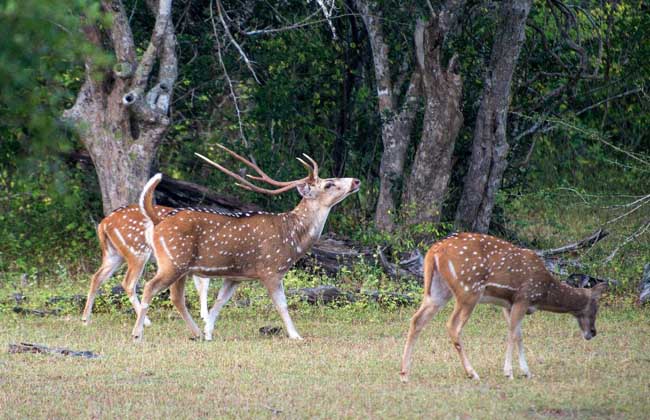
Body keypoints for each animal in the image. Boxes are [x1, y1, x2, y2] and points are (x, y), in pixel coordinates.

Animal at [81, 203, 211, 324]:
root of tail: (103, 223)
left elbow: (201, 285)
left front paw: (203, 315)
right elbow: (204, 284)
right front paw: (206, 317)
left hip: (113, 255)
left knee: (97, 277)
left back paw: (85, 319)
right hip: (137, 251)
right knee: (128, 283)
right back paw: (146, 321)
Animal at [128, 144, 356, 342]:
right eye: (328, 184)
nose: (356, 181)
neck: (293, 239)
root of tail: (158, 221)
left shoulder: (235, 275)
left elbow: (220, 301)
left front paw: (208, 332)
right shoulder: (271, 269)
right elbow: (282, 305)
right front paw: (296, 335)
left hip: (180, 266)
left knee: (176, 297)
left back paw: (196, 333)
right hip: (173, 261)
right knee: (149, 287)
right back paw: (137, 335)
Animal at [398, 231, 604, 382]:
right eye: (595, 306)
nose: (593, 332)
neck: (543, 292)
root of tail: (434, 251)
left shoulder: (509, 303)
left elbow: (518, 334)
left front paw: (526, 372)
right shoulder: (523, 297)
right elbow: (512, 334)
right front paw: (509, 372)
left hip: (437, 291)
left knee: (417, 320)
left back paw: (404, 374)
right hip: (468, 290)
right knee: (452, 325)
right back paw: (472, 373)